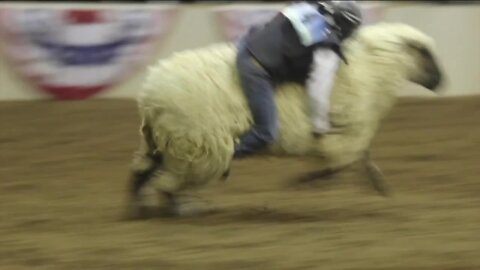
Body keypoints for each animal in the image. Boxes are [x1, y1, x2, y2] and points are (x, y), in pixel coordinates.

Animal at [124, 22, 442, 218]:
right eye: (425, 53)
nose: (441, 82)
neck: (374, 68)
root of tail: (150, 92)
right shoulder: (347, 130)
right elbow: (342, 163)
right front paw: (302, 182)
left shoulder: (350, 132)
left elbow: (361, 158)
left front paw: (381, 187)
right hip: (195, 144)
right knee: (165, 180)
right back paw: (175, 209)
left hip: (169, 141)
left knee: (146, 173)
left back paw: (143, 208)